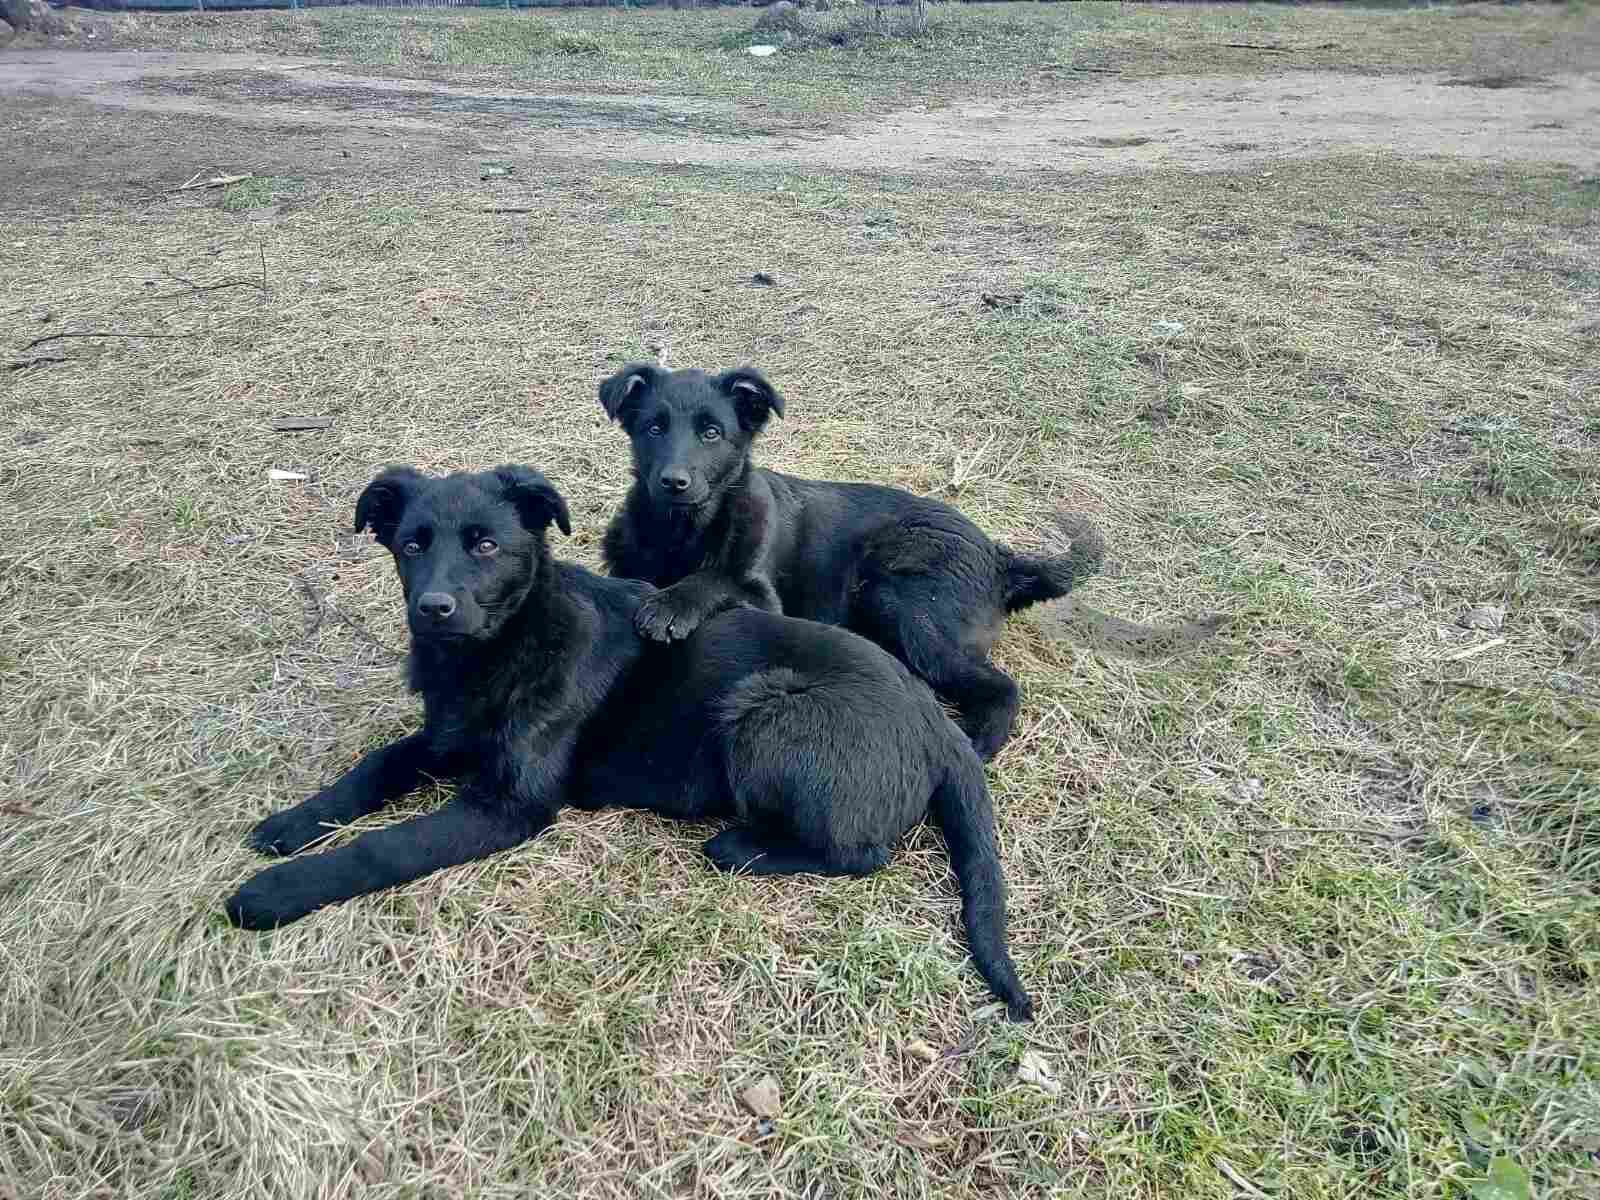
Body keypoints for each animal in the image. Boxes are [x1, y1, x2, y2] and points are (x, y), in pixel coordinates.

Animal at [225, 464, 1036, 1017]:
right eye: (411, 545)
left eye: (486, 545)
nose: (434, 609)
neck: (504, 647)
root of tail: (937, 723)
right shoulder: (443, 738)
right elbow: (372, 767)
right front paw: (292, 822)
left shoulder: (508, 805)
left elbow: (383, 848)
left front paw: (273, 892)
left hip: (764, 708)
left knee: (861, 853)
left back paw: (742, 849)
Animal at [595, 364, 1107, 761]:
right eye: (654, 429)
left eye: (711, 433)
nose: (673, 482)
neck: (682, 533)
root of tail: (999, 559)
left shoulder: (763, 597)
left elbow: (712, 579)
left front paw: (671, 604)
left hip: (901, 601)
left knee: (1001, 687)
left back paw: (975, 742)